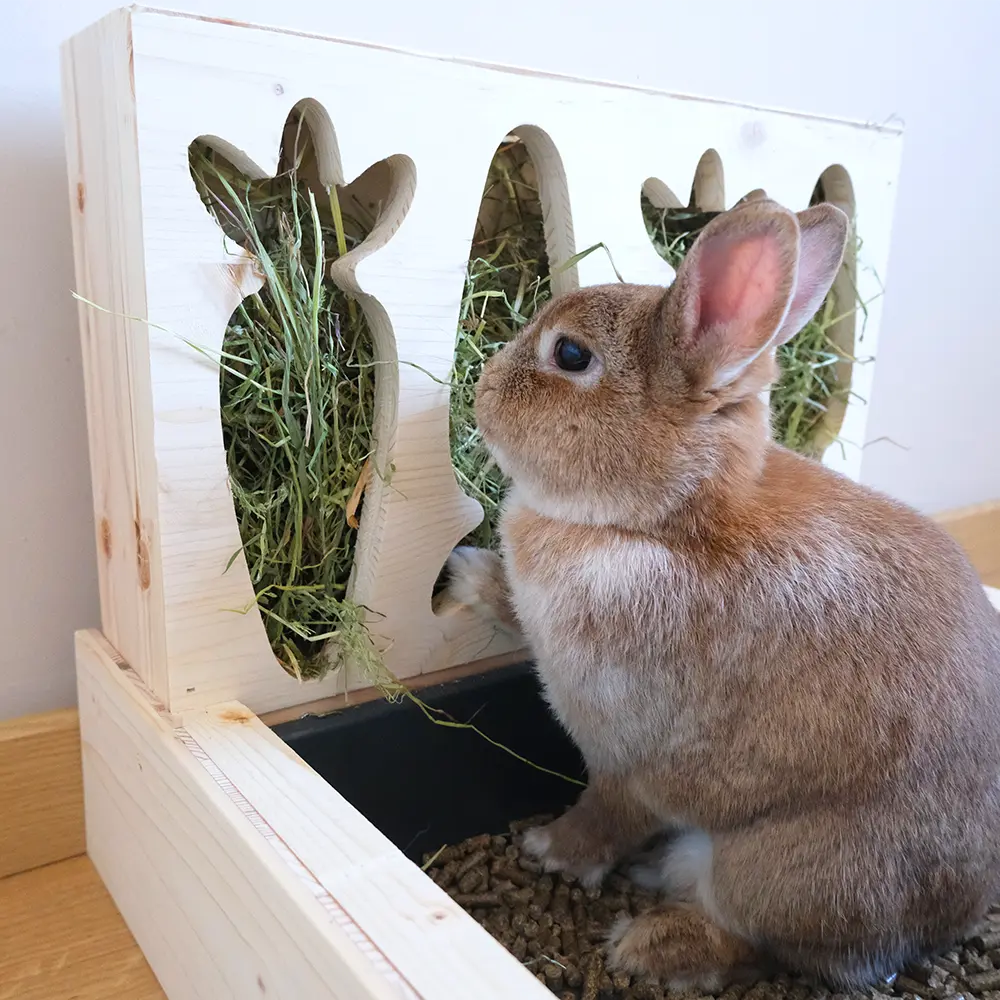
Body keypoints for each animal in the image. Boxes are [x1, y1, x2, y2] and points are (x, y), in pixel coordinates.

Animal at [439, 192, 1000, 990]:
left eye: (571, 355)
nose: (481, 387)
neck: (666, 525)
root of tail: (953, 914)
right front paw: (468, 572)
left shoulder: (625, 755)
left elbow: (605, 813)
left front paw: (550, 850)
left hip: (782, 873)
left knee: (762, 943)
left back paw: (650, 945)